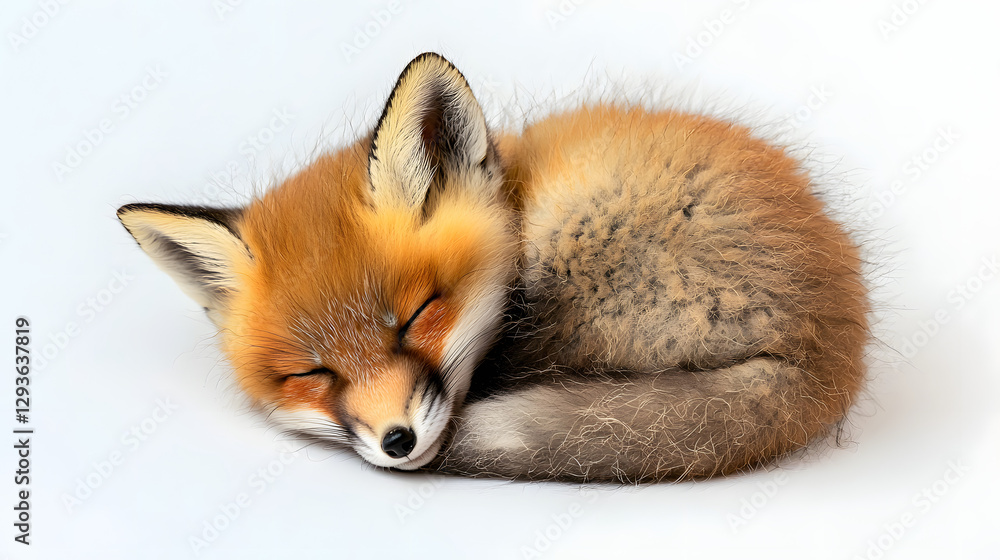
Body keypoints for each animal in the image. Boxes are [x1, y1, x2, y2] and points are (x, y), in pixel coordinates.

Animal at [117, 52, 869, 483]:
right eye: (311, 373)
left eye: (417, 317)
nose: (397, 442)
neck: (513, 190)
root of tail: (836, 347)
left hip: (574, 255)